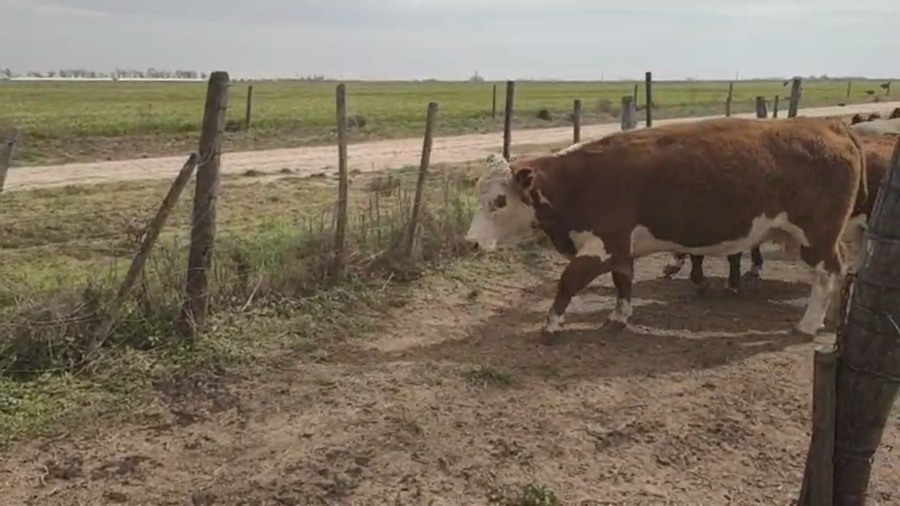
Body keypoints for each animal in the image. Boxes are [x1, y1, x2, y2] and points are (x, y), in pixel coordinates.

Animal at [464, 116, 867, 338]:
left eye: (499, 201)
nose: (470, 243)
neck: (581, 182)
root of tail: (829, 125)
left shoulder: (605, 243)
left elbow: (569, 281)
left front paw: (551, 325)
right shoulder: (622, 247)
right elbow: (623, 281)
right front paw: (619, 317)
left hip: (817, 236)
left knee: (827, 274)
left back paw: (808, 324)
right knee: (840, 268)